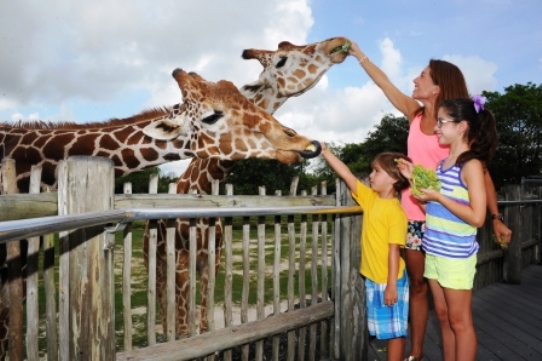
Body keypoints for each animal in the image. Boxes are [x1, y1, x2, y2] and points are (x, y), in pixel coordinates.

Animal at [142, 36, 350, 338]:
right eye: (282, 59)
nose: (339, 43)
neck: (204, 188)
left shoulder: (212, 260)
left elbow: (204, 323)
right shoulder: (180, 262)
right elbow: (183, 327)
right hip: (154, 259)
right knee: (160, 300)